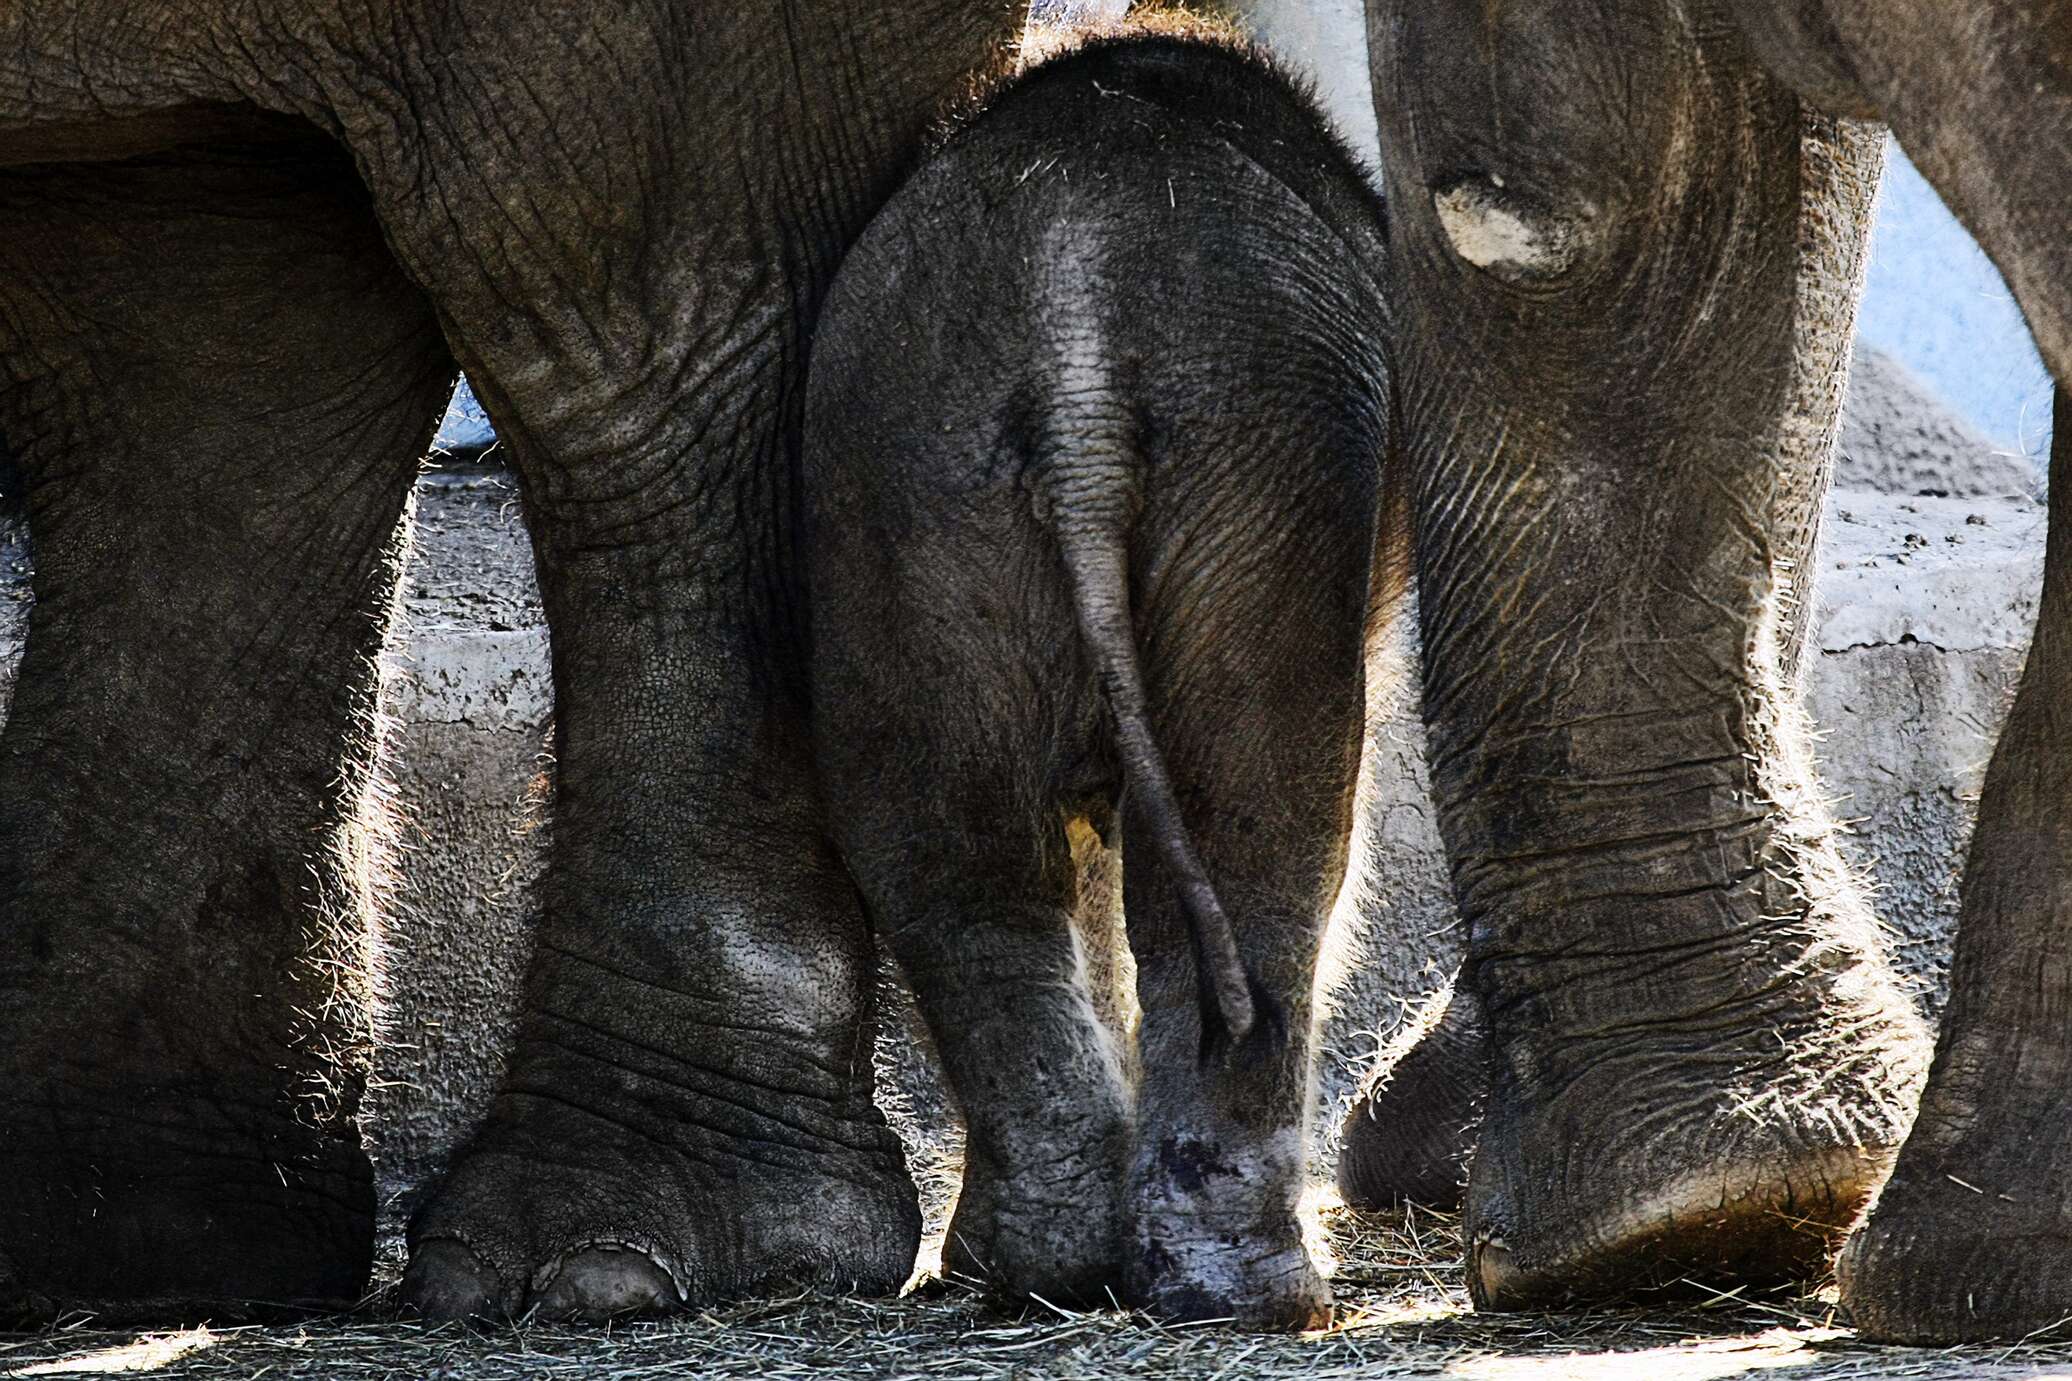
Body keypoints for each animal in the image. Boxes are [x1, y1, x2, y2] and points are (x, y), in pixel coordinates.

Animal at [799, 21, 1400, 1333]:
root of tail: (1071, 376)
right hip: (1259, 463)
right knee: (1259, 832)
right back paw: (1263, 1298)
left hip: (905, 474)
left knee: (957, 859)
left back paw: (1032, 1272)